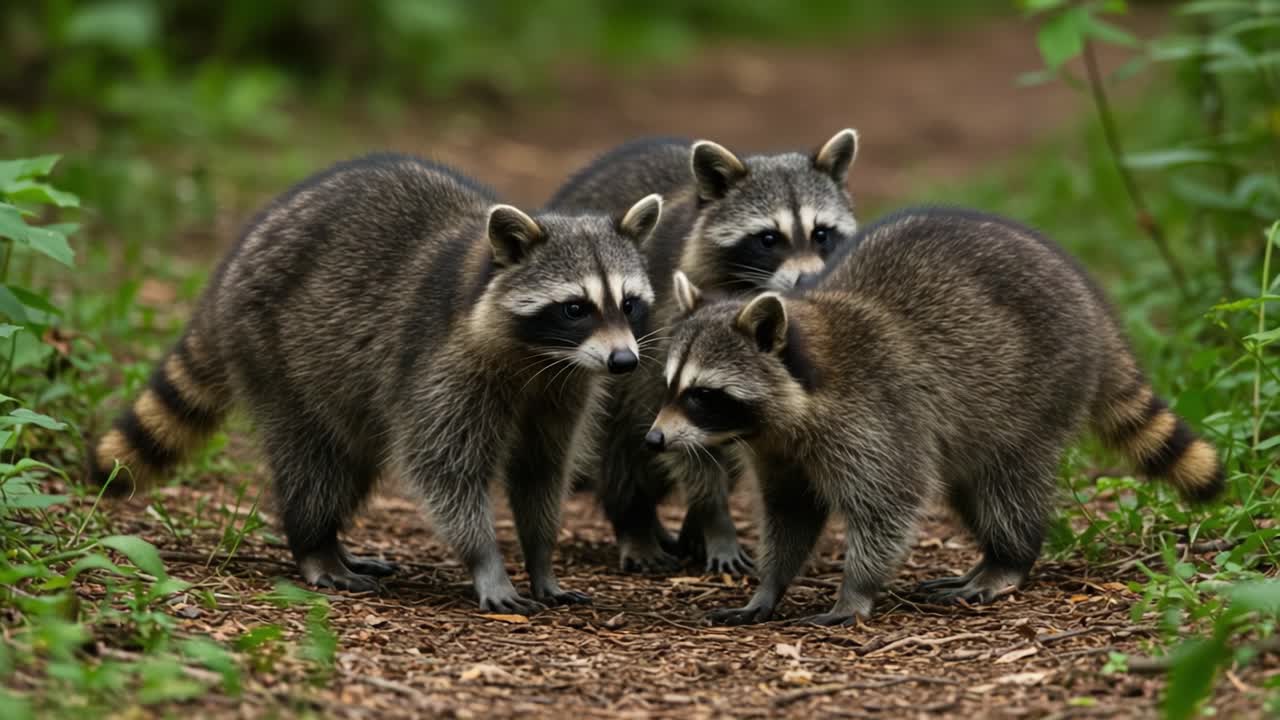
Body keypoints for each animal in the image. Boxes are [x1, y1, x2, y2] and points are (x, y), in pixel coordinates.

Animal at [90, 153, 660, 614]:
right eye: (575, 309)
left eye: (629, 303)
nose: (624, 361)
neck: (538, 357)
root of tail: (233, 263)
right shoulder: (443, 365)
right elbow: (444, 468)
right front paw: (487, 561)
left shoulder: (562, 389)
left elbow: (541, 469)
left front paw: (541, 557)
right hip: (276, 350)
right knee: (314, 460)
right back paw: (314, 545)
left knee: (351, 457)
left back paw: (333, 543)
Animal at [547, 130, 861, 576]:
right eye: (768, 239)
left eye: (822, 234)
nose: (808, 279)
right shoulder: (670, 326)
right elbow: (675, 432)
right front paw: (714, 520)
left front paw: (703, 524)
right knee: (618, 442)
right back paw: (634, 520)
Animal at [650, 207, 1224, 625]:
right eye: (669, 387)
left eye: (702, 395)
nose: (654, 440)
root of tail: (1093, 307)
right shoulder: (778, 449)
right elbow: (790, 513)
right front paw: (771, 586)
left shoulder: (875, 413)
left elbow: (889, 502)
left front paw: (855, 591)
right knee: (971, 484)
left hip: (1038, 387)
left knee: (1007, 483)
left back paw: (1009, 558)